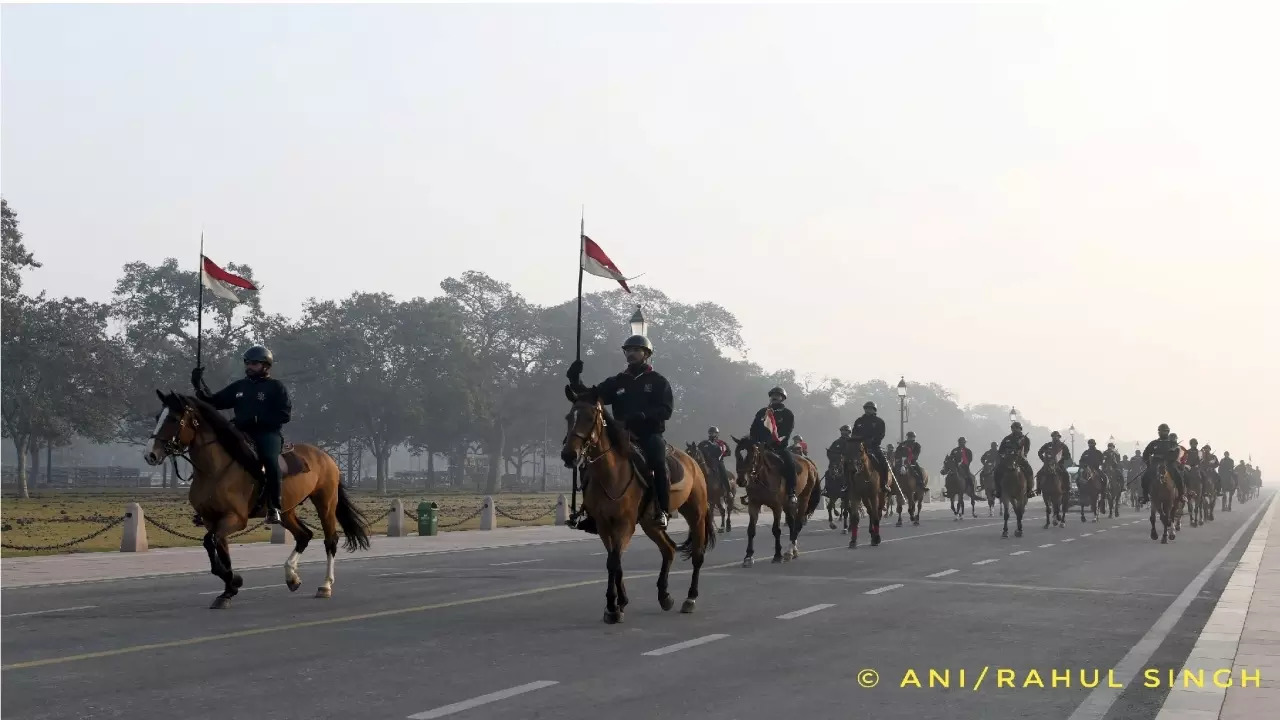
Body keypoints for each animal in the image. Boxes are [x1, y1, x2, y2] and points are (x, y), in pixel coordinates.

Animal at [146, 392, 373, 604]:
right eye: (158, 416)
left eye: (173, 418)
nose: (151, 455)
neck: (215, 470)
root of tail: (326, 456)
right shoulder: (212, 520)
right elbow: (217, 547)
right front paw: (229, 588)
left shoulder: (236, 519)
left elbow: (213, 542)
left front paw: (233, 582)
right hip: (286, 511)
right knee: (304, 535)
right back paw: (291, 577)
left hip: (325, 503)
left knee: (330, 540)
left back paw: (325, 585)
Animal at [563, 392, 716, 622]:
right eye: (568, 418)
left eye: (590, 418)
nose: (568, 455)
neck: (611, 473)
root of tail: (694, 463)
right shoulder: (604, 524)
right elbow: (613, 560)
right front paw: (617, 603)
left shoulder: (625, 523)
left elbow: (614, 561)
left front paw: (615, 605)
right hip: (649, 522)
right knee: (668, 549)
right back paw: (664, 596)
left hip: (695, 514)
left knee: (697, 555)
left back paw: (690, 598)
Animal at [732, 430, 819, 566]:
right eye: (737, 454)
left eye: (753, 455)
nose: (742, 481)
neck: (763, 477)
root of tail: (809, 463)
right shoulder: (754, 504)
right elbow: (751, 530)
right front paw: (748, 556)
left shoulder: (776, 506)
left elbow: (776, 530)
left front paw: (777, 555)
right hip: (788, 504)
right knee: (792, 522)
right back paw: (793, 550)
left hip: (803, 499)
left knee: (798, 524)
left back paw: (789, 551)